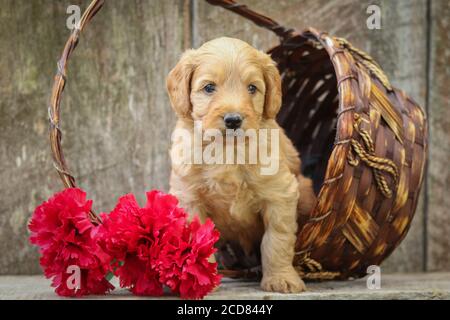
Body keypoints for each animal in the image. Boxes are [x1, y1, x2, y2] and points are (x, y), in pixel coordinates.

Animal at [166, 37, 316, 292]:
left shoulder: (280, 194)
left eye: (252, 88)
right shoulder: (189, 197)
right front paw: (201, 278)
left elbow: (277, 239)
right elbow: (198, 240)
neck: (228, 150)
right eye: (209, 88)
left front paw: (281, 278)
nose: (233, 120)